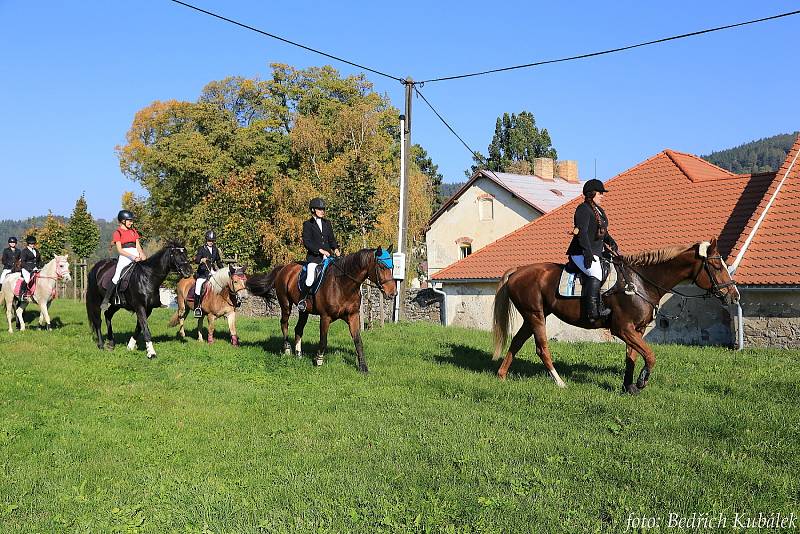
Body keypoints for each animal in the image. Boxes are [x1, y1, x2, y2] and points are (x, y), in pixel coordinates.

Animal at [242, 248, 396, 370]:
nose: (392, 293)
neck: (343, 285)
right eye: (382, 266)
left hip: (303, 311)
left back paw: (299, 354)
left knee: (298, 329)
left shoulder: (353, 315)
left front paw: (363, 367)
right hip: (285, 304)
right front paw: (318, 360)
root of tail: (284, 268)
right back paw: (287, 350)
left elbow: (358, 340)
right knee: (284, 323)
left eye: (392, 266)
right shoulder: (325, 317)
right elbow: (323, 340)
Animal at [490, 241, 740, 396]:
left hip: (532, 316)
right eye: (716, 266)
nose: (734, 295)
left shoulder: (637, 330)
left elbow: (632, 357)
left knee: (516, 342)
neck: (641, 283)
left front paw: (628, 386)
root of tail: (518, 271)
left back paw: (501, 376)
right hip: (536, 316)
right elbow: (650, 356)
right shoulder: (622, 329)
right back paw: (559, 382)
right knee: (541, 348)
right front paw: (641, 381)